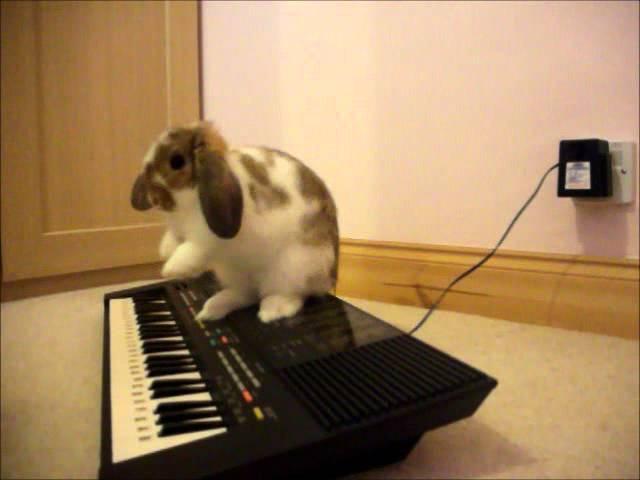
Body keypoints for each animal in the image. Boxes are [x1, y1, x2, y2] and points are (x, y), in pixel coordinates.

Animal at [131, 120, 340, 322]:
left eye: (176, 162)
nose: (154, 198)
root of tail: (328, 279)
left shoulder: (206, 240)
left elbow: (190, 252)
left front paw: (170, 269)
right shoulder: (179, 230)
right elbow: (173, 240)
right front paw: (165, 252)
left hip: (294, 268)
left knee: (292, 294)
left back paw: (271, 310)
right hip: (235, 272)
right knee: (247, 294)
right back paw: (212, 309)